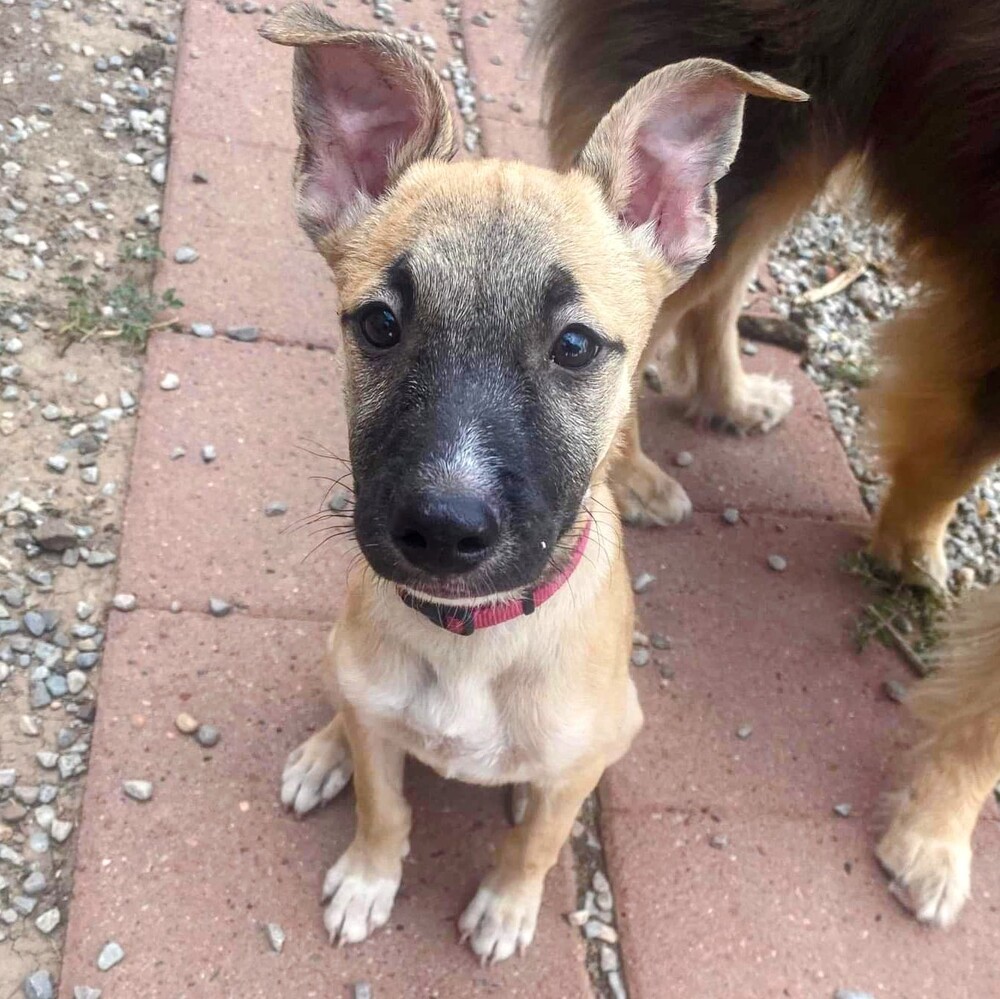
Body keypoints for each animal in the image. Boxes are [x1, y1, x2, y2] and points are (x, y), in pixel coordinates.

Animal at [260, 1, 804, 968]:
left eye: (577, 345)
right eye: (379, 324)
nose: (443, 527)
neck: (470, 641)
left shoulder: (588, 748)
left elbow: (540, 838)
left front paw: (508, 905)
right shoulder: (380, 721)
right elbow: (384, 802)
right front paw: (368, 876)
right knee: (351, 714)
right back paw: (325, 752)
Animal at [540, 0, 1000, 928]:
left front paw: (909, 542)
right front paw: (936, 834)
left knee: (710, 286)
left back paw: (728, 394)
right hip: (772, 107)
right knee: (660, 290)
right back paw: (629, 473)